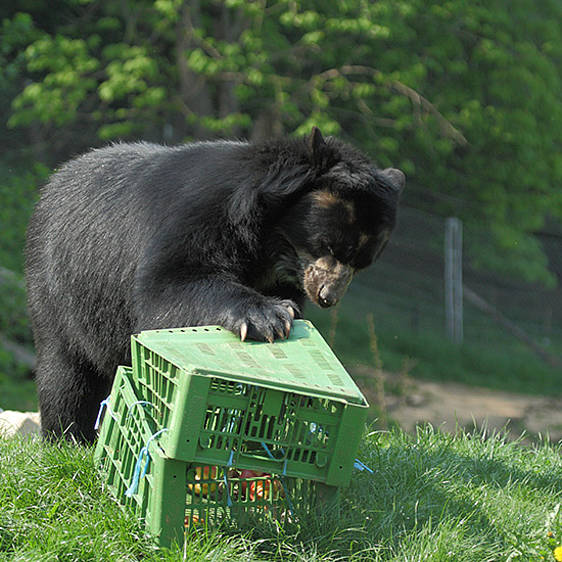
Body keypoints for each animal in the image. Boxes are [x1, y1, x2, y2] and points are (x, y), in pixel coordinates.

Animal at [26, 128, 402, 442]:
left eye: (361, 263)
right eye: (329, 245)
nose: (327, 297)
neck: (270, 244)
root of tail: (53, 181)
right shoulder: (202, 213)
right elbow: (166, 285)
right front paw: (267, 318)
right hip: (59, 286)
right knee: (66, 374)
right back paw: (68, 439)